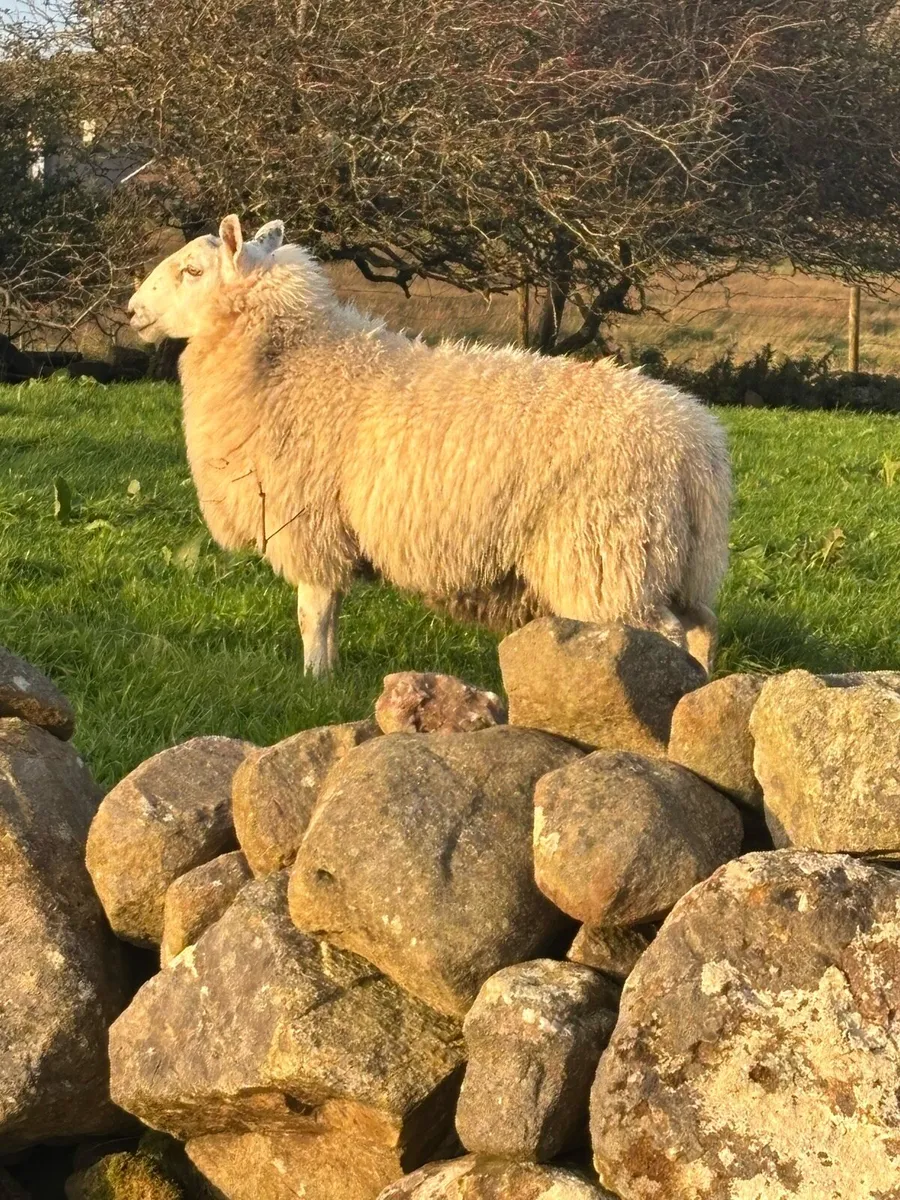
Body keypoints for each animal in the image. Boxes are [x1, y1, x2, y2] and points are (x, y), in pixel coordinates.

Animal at [128, 214, 731, 677]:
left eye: (193, 271)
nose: (132, 310)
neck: (293, 360)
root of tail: (696, 444)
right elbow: (331, 612)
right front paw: (331, 674)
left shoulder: (309, 523)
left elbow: (312, 613)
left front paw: (313, 678)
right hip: (671, 559)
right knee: (703, 626)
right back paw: (696, 685)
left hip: (608, 552)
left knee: (663, 634)